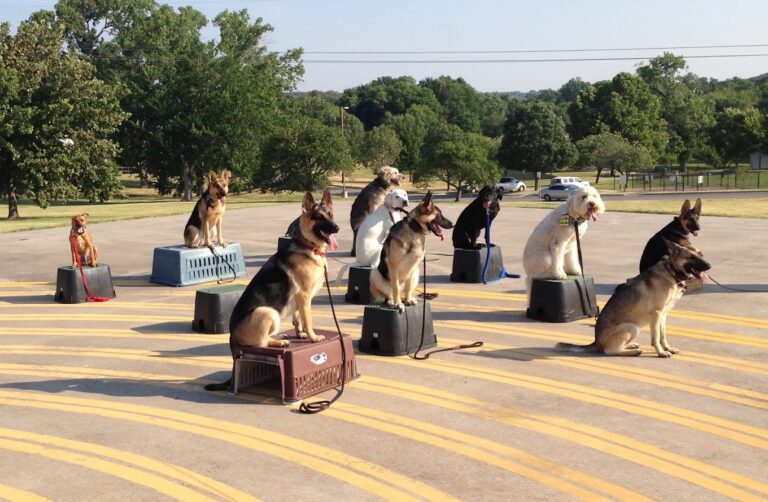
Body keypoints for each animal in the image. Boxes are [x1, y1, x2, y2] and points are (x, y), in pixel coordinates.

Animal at [204, 190, 340, 390]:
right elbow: (308, 320)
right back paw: (280, 341)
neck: (307, 244)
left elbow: (298, 318)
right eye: (319, 217)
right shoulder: (305, 296)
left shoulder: (300, 299)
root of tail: (232, 338)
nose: (337, 228)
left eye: (330, 214)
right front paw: (313, 338)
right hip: (268, 312)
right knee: (261, 343)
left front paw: (300, 334)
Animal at [556, 239, 712, 356]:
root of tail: (596, 342)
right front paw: (661, 352)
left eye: (701, 254)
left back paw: (631, 346)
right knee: (609, 351)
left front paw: (667, 348)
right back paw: (633, 352)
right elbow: (656, 338)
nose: (709, 265)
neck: (671, 272)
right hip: (631, 326)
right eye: (690, 257)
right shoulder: (656, 314)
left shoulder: (663, 314)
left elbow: (663, 335)